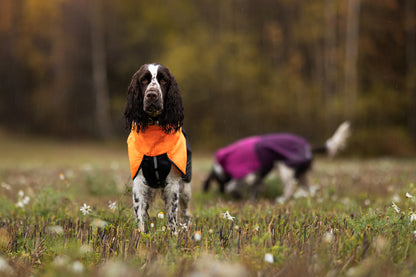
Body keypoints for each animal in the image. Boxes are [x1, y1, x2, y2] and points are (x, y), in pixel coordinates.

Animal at [125, 63, 192, 231]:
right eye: (143, 80)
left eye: (163, 80)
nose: (152, 95)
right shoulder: (139, 180)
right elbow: (140, 213)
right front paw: (140, 234)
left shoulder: (173, 182)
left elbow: (172, 216)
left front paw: (174, 235)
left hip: (186, 185)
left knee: (185, 209)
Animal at [203, 122, 350, 202]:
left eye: (220, 183)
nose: (220, 192)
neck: (224, 164)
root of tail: (308, 147)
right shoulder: (257, 176)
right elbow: (254, 188)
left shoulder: (248, 174)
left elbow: (233, 186)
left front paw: (237, 194)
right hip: (301, 174)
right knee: (309, 190)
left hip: (285, 167)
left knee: (289, 188)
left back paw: (282, 199)